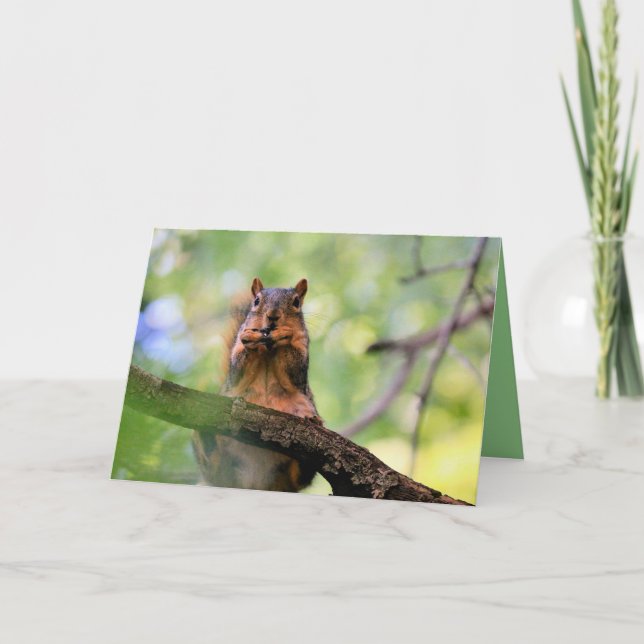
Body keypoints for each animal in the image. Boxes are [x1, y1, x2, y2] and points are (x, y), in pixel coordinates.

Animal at [191, 277, 321, 492]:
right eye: (257, 301)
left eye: (296, 302)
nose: (273, 316)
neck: (269, 349)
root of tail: (256, 482)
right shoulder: (235, 368)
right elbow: (237, 368)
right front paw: (250, 341)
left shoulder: (302, 355)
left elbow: (295, 371)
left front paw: (284, 336)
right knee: (215, 469)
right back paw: (206, 435)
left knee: (299, 478)